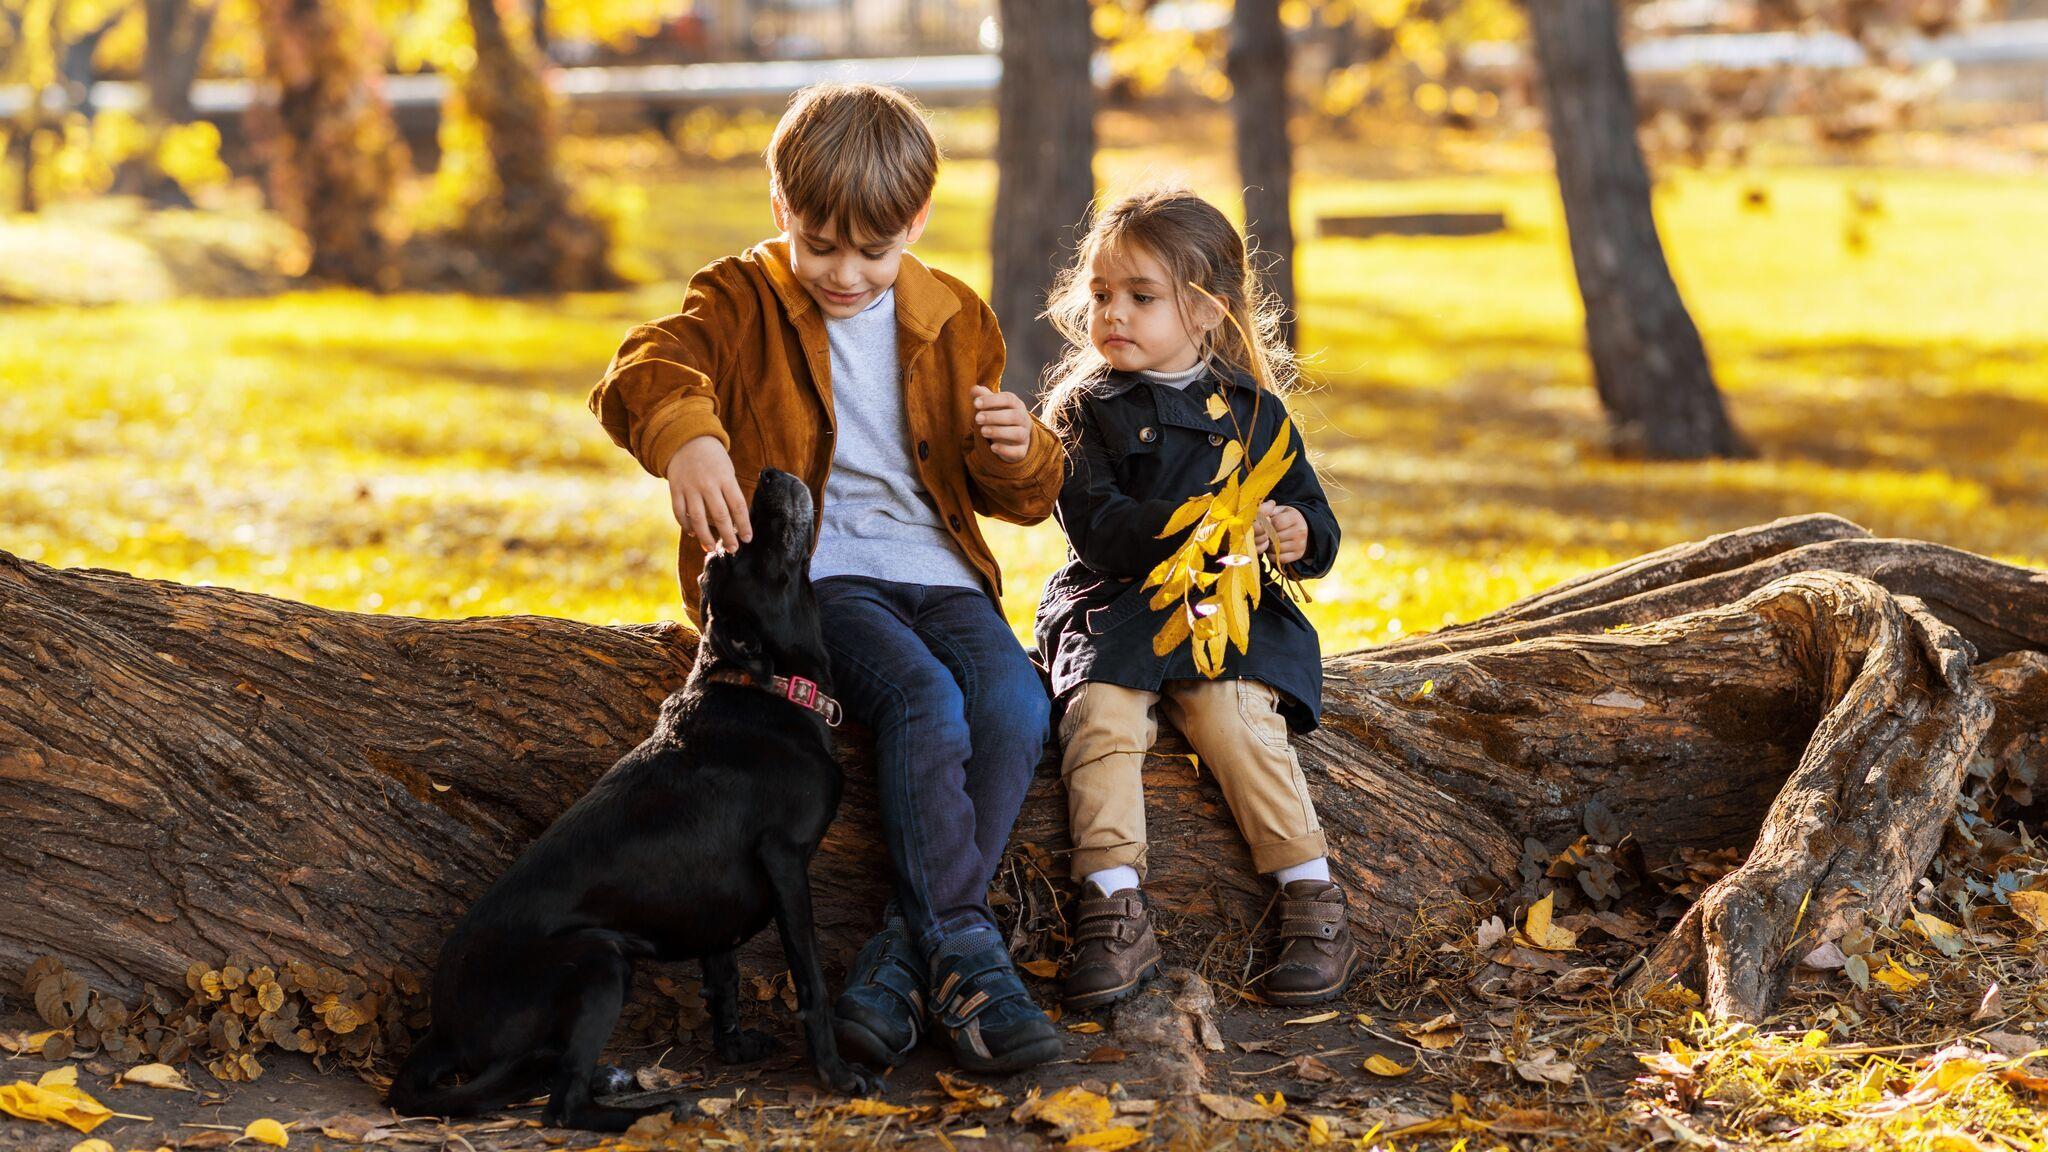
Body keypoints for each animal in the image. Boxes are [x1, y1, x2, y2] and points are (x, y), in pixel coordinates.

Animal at [391, 469, 880, 1131]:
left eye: (722, 557)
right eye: (742, 549)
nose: (768, 475)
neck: (766, 688)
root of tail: (440, 1032)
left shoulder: (712, 905)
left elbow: (721, 976)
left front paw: (733, 1049)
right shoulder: (784, 861)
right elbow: (810, 982)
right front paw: (835, 1074)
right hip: (600, 960)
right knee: (563, 1106)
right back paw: (663, 1107)